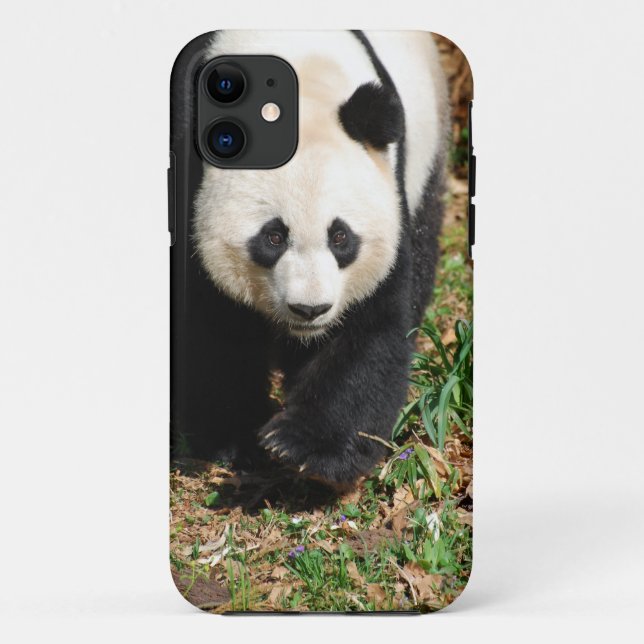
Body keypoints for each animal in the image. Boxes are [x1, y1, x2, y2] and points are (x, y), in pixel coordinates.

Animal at [192, 30, 448, 487]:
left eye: (340, 237)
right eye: (274, 237)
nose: (309, 310)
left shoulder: (390, 188)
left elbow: (370, 326)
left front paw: (301, 446)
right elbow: (214, 326)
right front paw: (233, 436)